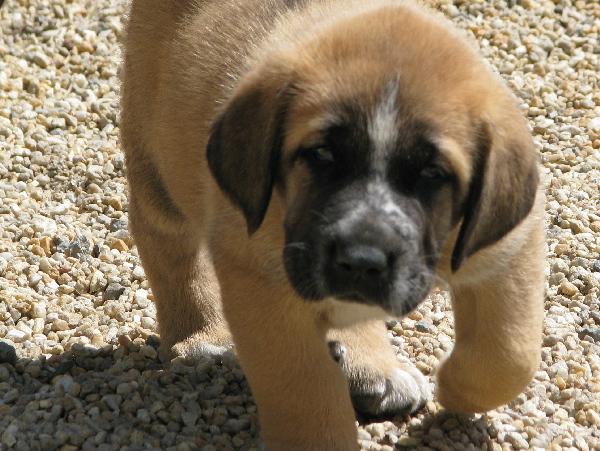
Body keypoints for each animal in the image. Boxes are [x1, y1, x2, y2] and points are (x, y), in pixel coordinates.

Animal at [119, 1, 548, 450]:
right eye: (321, 154)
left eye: (433, 173)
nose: (361, 261)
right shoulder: (266, 291)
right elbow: (308, 396)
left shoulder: (505, 249)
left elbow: (507, 355)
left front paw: (454, 387)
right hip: (157, 162)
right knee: (167, 246)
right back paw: (204, 336)